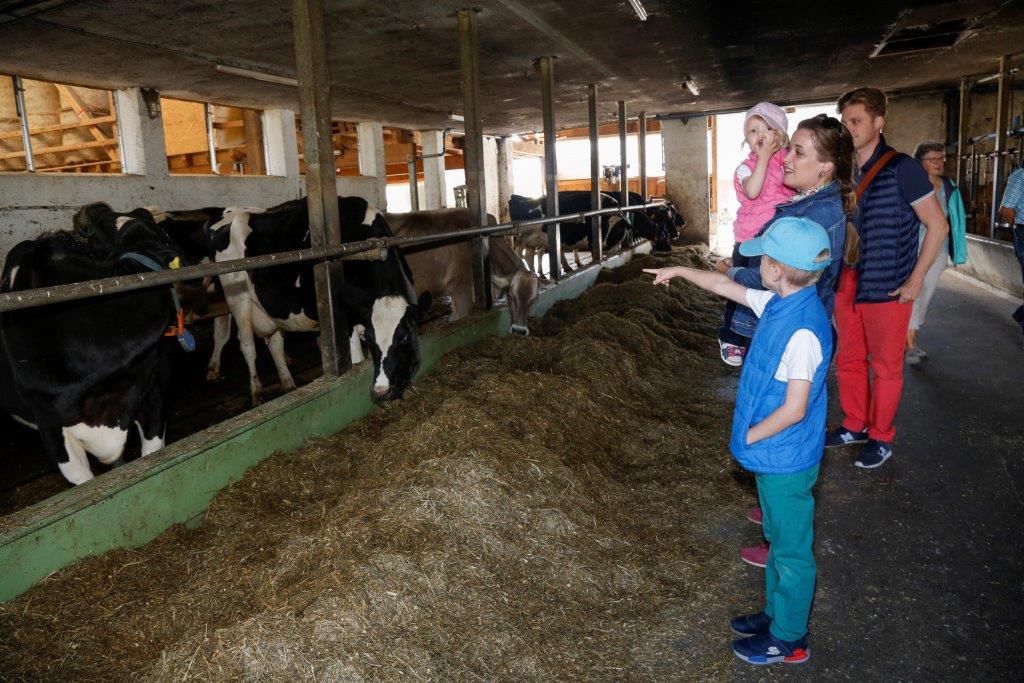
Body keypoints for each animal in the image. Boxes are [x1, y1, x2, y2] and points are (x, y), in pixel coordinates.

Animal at [205, 194, 430, 403]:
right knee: (247, 345)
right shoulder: (345, 322)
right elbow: (356, 361)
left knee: (275, 343)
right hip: (237, 297)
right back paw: (257, 393)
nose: (380, 391)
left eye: (404, 337)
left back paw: (288, 384)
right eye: (370, 340)